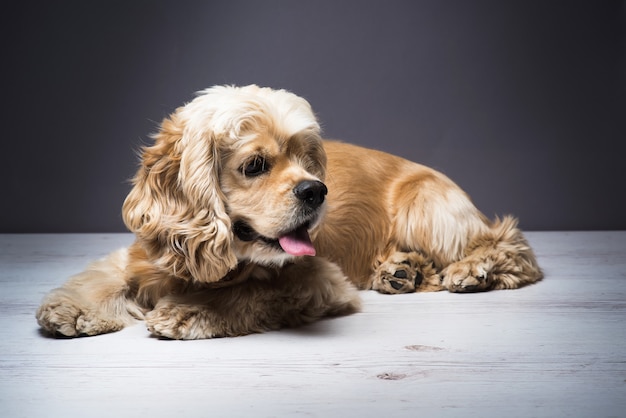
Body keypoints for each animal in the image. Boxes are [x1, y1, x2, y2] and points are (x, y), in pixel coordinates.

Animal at [36, 85, 540, 340]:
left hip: (427, 207)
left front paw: (190, 312)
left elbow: (256, 291)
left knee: (511, 247)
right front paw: (73, 308)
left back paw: (471, 270)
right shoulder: (146, 252)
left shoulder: (319, 279)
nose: (316, 190)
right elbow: (104, 277)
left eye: (307, 160)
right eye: (255, 165)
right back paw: (401, 272)